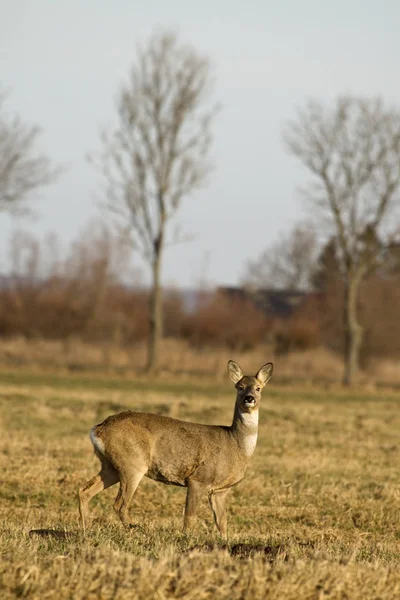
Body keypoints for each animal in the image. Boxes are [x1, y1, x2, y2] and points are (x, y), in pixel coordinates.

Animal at [78, 358, 272, 536]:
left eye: (258, 388)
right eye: (239, 387)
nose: (249, 398)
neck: (236, 445)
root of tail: (98, 429)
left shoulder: (220, 490)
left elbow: (222, 522)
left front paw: (223, 542)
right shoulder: (198, 479)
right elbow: (190, 517)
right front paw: (185, 538)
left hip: (111, 466)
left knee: (84, 490)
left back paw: (87, 528)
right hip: (132, 462)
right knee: (120, 504)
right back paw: (137, 529)